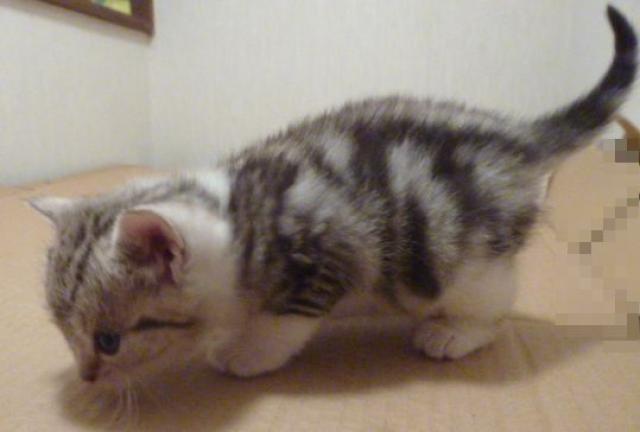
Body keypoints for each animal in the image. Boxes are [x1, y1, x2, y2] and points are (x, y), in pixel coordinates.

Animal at [31, 6, 636, 384]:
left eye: (108, 341)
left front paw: (245, 352)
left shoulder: (329, 254)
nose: (87, 377)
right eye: (66, 335)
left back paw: (456, 332)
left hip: (461, 260)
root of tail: (517, 135)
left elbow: (284, 323)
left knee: (494, 299)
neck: (241, 215)